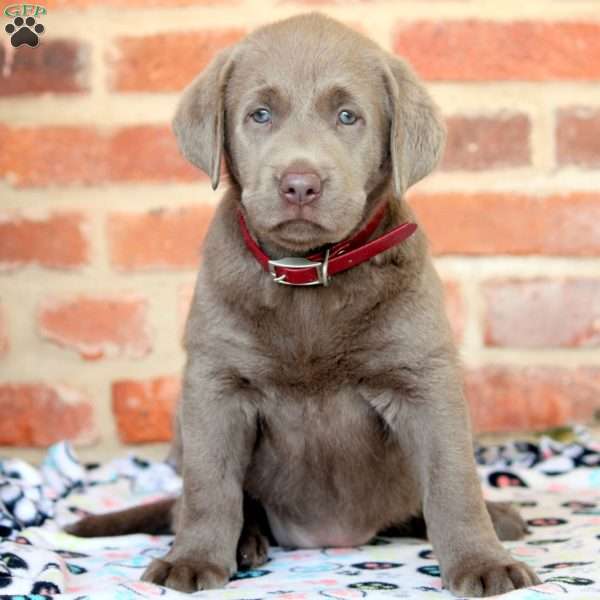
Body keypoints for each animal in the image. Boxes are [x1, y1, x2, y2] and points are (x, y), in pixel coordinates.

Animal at [68, 12, 540, 596]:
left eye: (347, 116)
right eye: (260, 115)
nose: (300, 184)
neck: (309, 275)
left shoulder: (424, 379)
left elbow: (453, 480)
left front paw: (482, 560)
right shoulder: (214, 385)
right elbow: (208, 486)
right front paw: (193, 558)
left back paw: (497, 517)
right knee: (190, 503)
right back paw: (243, 541)